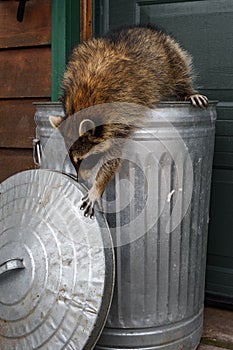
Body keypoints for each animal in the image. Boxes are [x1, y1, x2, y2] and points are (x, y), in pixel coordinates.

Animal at [50, 24, 208, 217]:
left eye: (83, 159)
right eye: (73, 160)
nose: (81, 179)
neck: (82, 101)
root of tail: (143, 28)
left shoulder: (119, 117)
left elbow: (113, 158)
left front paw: (97, 186)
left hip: (169, 53)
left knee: (180, 69)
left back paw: (188, 90)